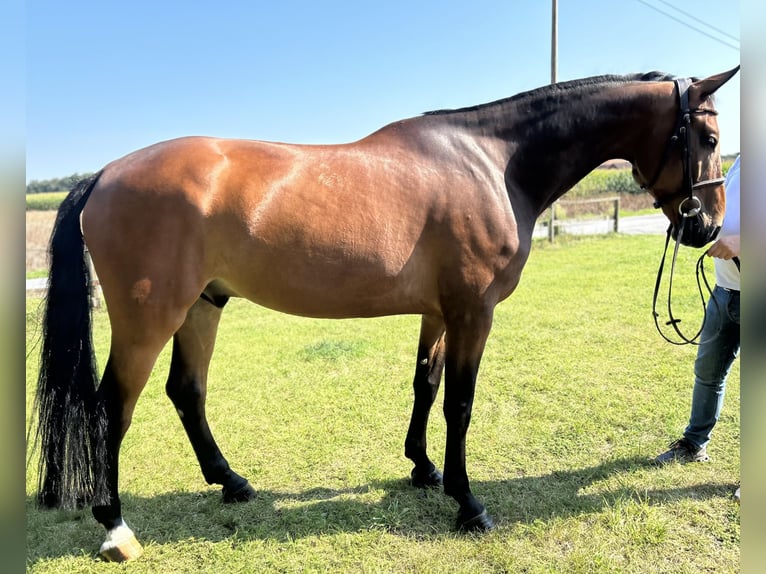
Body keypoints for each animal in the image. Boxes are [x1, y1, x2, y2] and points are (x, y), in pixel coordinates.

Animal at [34, 67, 736, 564]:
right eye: (708, 138)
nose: (707, 228)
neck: (492, 163)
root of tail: (104, 175)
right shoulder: (473, 311)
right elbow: (460, 403)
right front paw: (467, 503)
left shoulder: (440, 311)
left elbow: (425, 385)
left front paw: (423, 469)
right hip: (149, 319)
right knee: (111, 408)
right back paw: (115, 526)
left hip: (203, 306)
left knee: (187, 391)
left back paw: (231, 482)